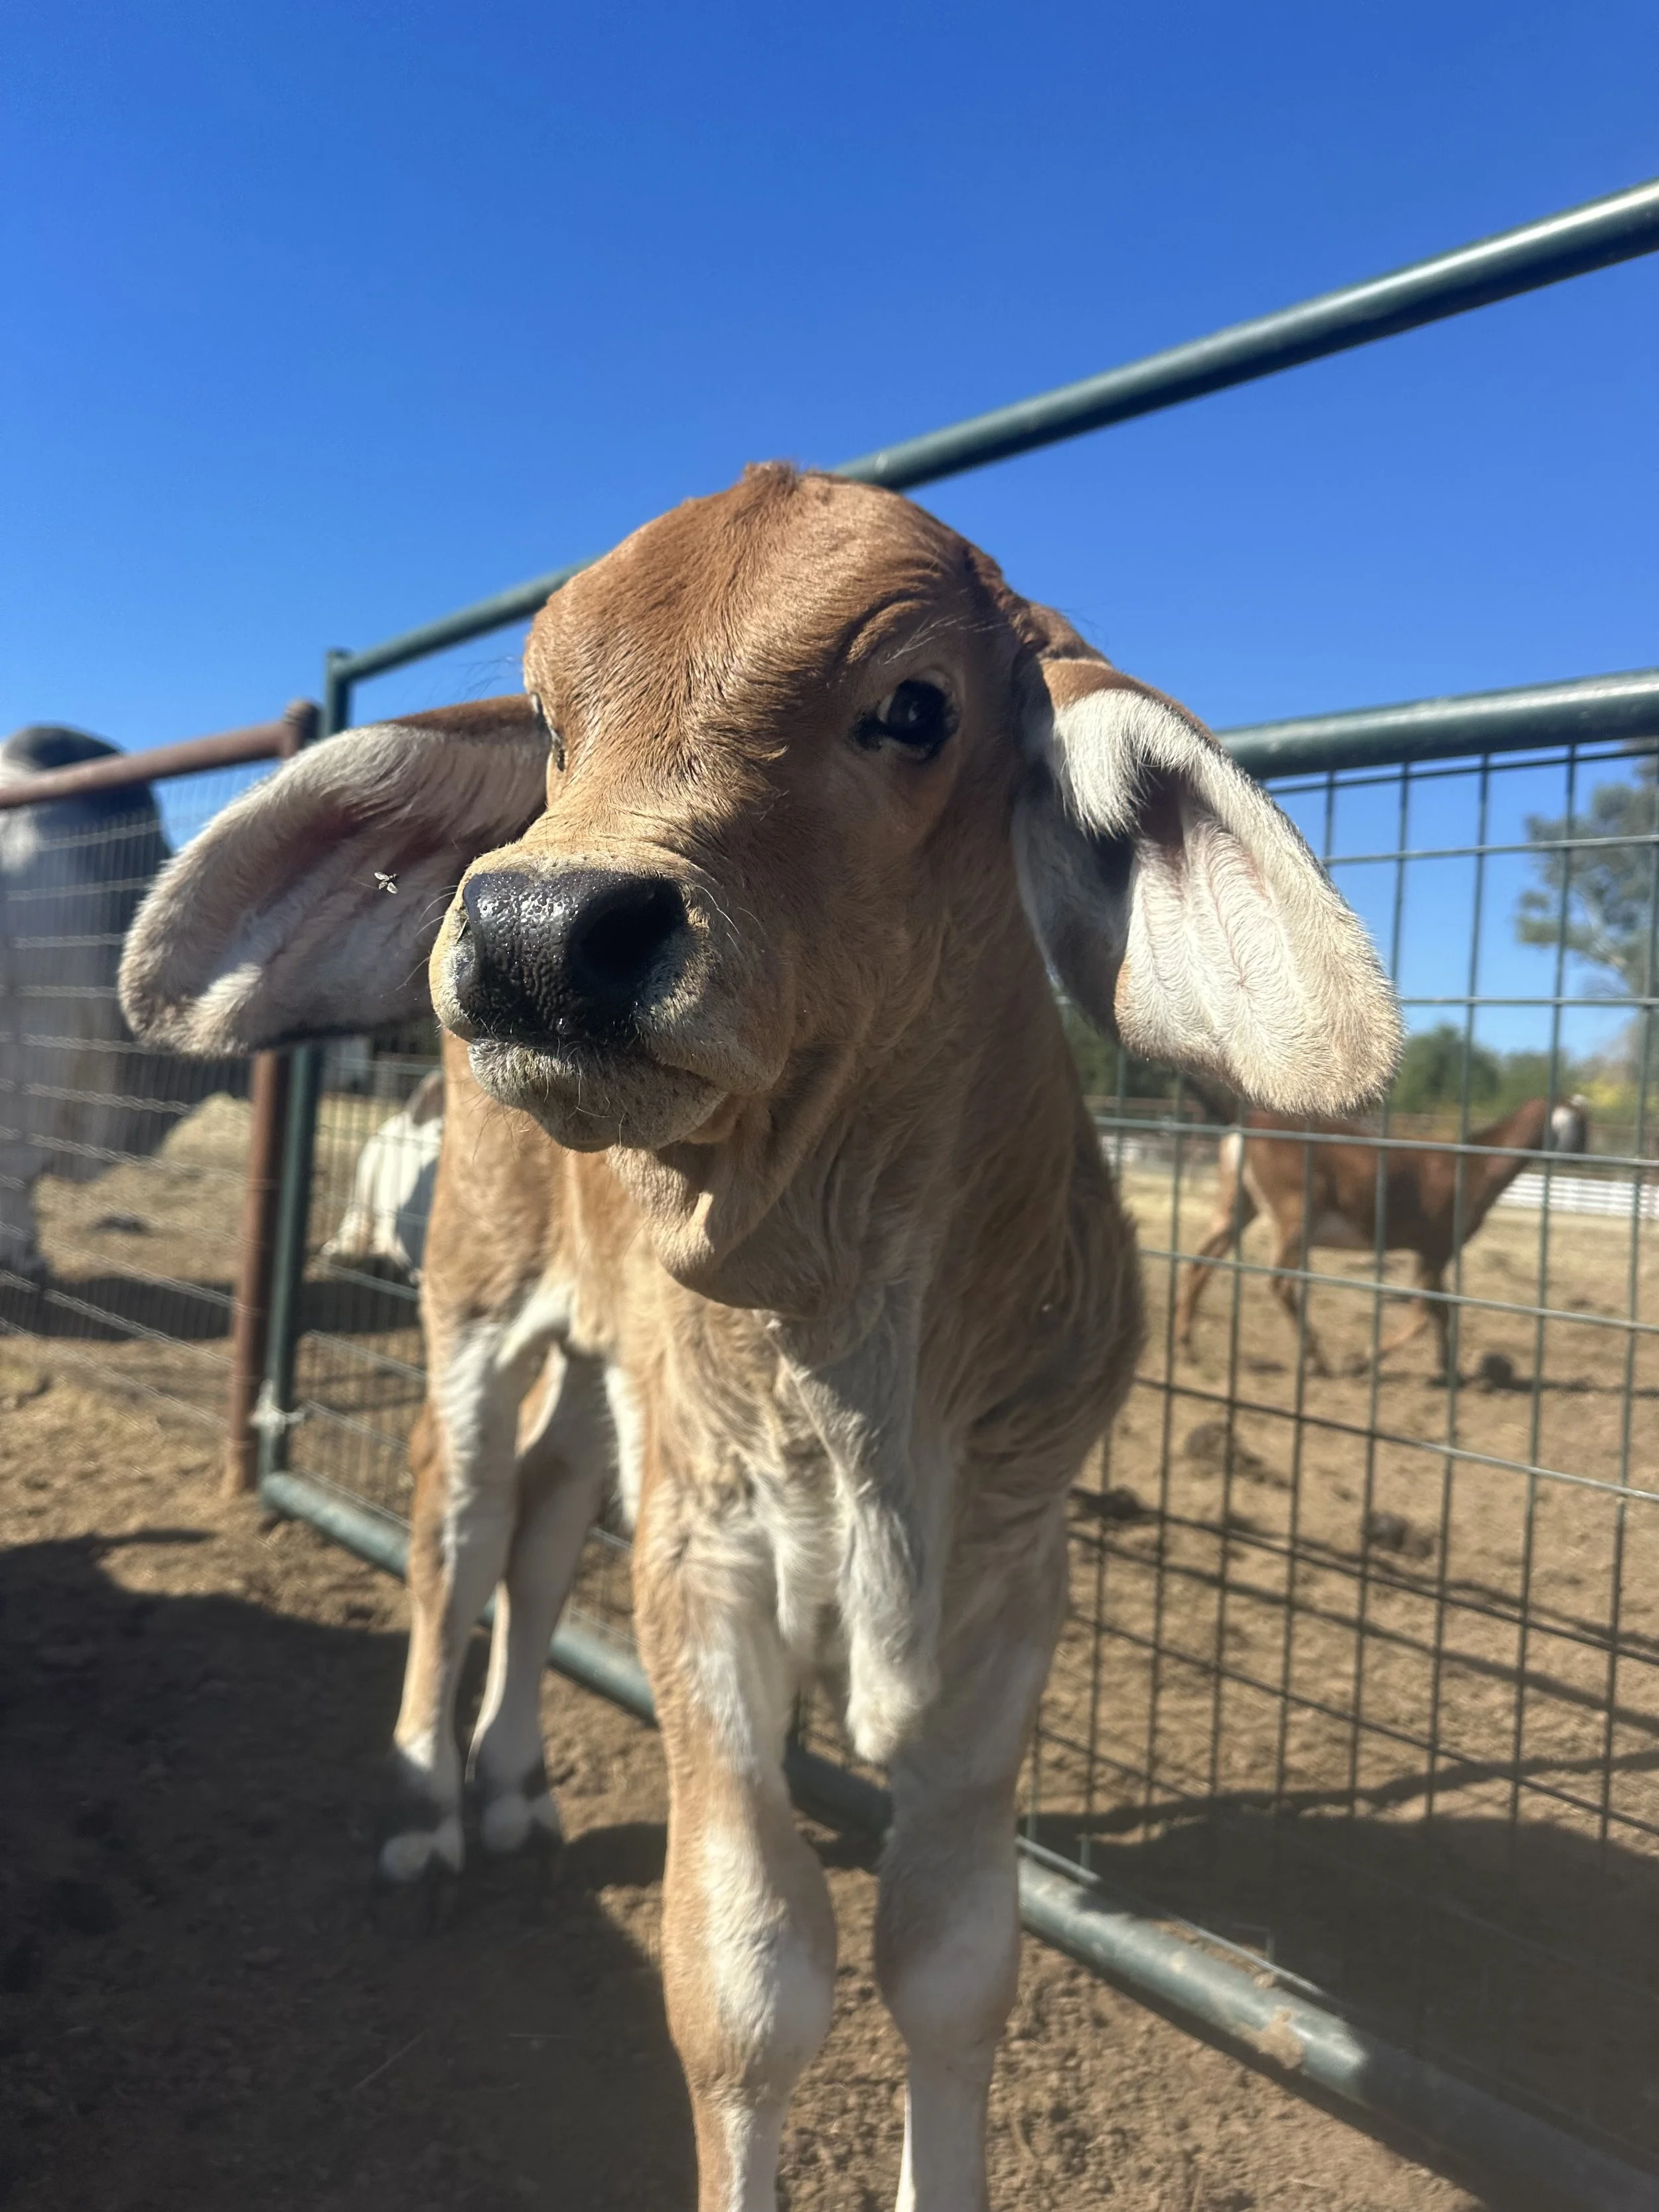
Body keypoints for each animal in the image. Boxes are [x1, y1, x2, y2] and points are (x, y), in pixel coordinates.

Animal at [119, 465, 1398, 2211]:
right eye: (549, 718)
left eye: (914, 707)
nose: (536, 929)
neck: (858, 1355)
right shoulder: (710, 1552)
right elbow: (747, 1977)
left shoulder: (1011, 1576)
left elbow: (954, 1965)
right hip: (476, 1299)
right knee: (457, 1522)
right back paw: (429, 1809)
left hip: (609, 1383)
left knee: (539, 1526)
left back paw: (514, 1785)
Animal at [1176, 1095, 1590, 1379]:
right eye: (1582, 1126)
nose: (1584, 1160)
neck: (1473, 1164)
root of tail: (1241, 1132)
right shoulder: (1437, 1249)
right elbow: (1427, 1313)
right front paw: (1362, 1360)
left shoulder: (1430, 1253)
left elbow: (1443, 1310)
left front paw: (1451, 1371)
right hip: (1295, 1219)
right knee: (1280, 1283)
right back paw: (1318, 1360)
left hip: (1237, 1207)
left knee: (1199, 1263)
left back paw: (1188, 1349)